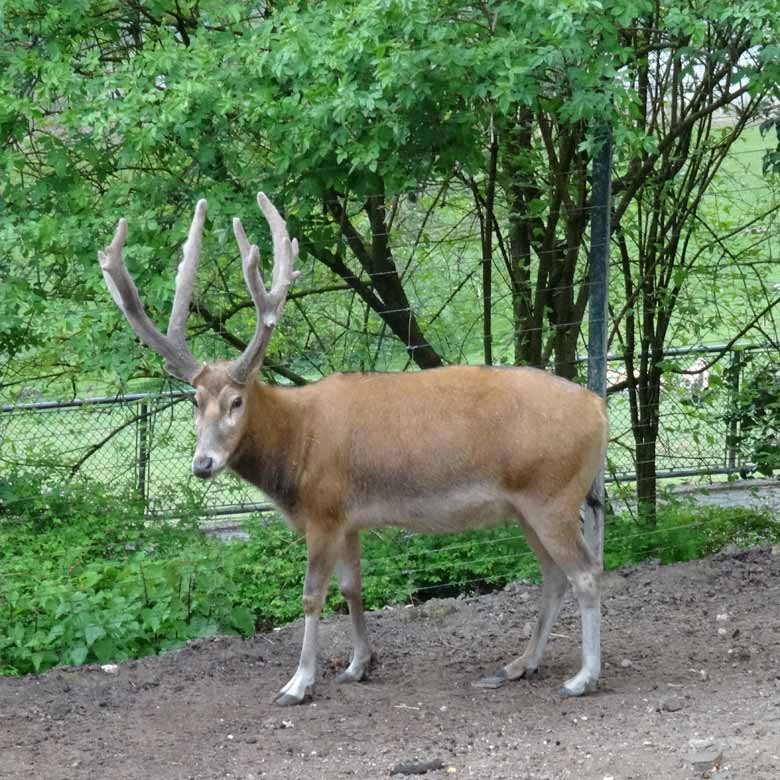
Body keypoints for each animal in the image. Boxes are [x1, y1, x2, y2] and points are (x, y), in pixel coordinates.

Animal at [97, 192, 608, 704]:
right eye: (195, 400)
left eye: (236, 401)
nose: (203, 463)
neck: (295, 453)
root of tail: (599, 408)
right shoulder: (349, 517)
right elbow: (352, 587)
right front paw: (358, 665)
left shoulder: (323, 510)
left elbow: (311, 595)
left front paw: (298, 683)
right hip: (527, 505)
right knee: (554, 575)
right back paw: (519, 664)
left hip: (551, 494)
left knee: (586, 572)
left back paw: (583, 676)